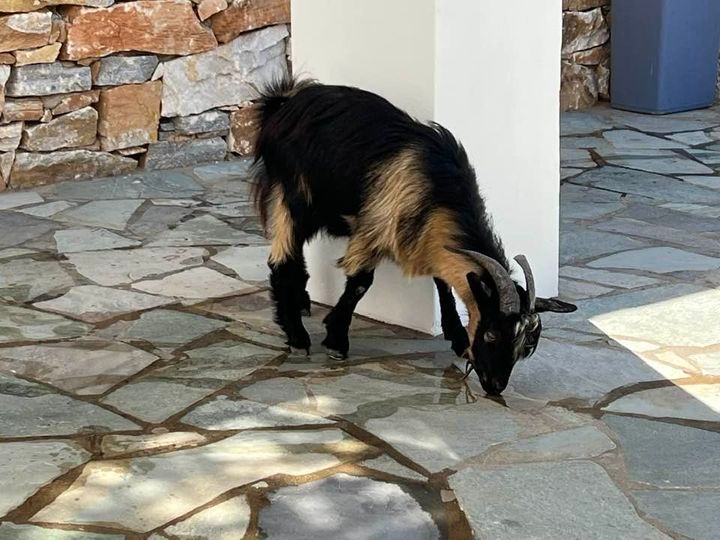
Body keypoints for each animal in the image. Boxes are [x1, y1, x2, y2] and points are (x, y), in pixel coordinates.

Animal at [252, 77, 576, 395]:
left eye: (525, 345)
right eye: (492, 333)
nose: (495, 385)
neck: (438, 186)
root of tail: (281, 105)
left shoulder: (424, 235)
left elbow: (443, 282)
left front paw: (457, 336)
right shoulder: (377, 224)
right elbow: (360, 283)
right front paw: (336, 340)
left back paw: (301, 305)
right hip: (294, 196)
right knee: (283, 262)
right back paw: (297, 337)